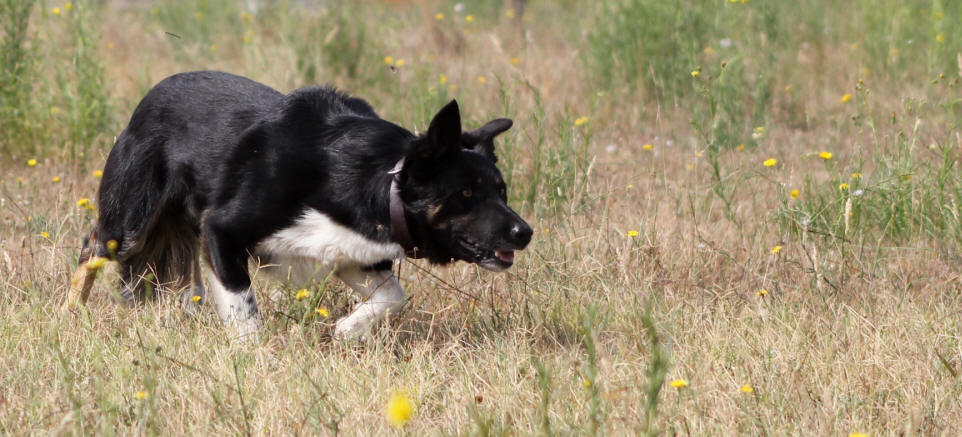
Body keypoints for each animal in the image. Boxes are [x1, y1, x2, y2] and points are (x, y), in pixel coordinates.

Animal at [65, 70, 532, 338]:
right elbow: (245, 313)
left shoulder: (353, 255)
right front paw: (254, 362)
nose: (524, 233)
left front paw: (347, 330)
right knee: (91, 247)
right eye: (466, 193)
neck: (370, 180)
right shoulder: (222, 230)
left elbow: (393, 296)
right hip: (131, 220)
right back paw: (70, 315)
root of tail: (148, 98)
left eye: (502, 192)